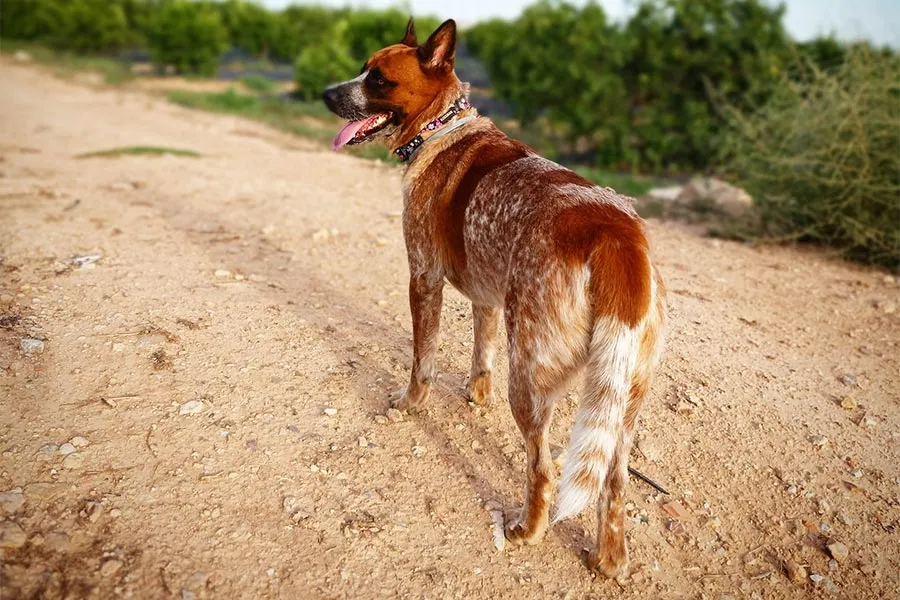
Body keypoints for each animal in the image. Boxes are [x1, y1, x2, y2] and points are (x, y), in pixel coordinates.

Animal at [326, 16, 668, 576]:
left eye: (377, 79)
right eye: (362, 68)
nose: (326, 93)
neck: (442, 127)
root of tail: (617, 237)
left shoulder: (423, 278)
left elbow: (421, 361)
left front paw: (410, 403)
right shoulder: (487, 295)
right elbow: (480, 353)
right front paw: (474, 395)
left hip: (529, 376)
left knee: (544, 469)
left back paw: (526, 529)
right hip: (623, 399)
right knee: (614, 481)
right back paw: (608, 559)